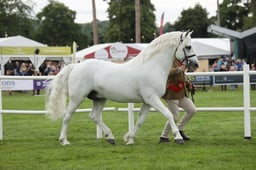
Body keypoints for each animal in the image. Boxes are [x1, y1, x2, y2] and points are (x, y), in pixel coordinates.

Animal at [45, 31, 198, 145]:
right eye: (188, 46)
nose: (195, 64)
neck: (152, 66)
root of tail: (75, 66)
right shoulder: (152, 98)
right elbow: (169, 114)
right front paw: (178, 137)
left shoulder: (148, 102)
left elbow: (140, 120)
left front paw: (129, 139)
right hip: (77, 98)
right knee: (67, 116)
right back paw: (64, 141)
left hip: (99, 98)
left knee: (94, 116)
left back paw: (110, 137)